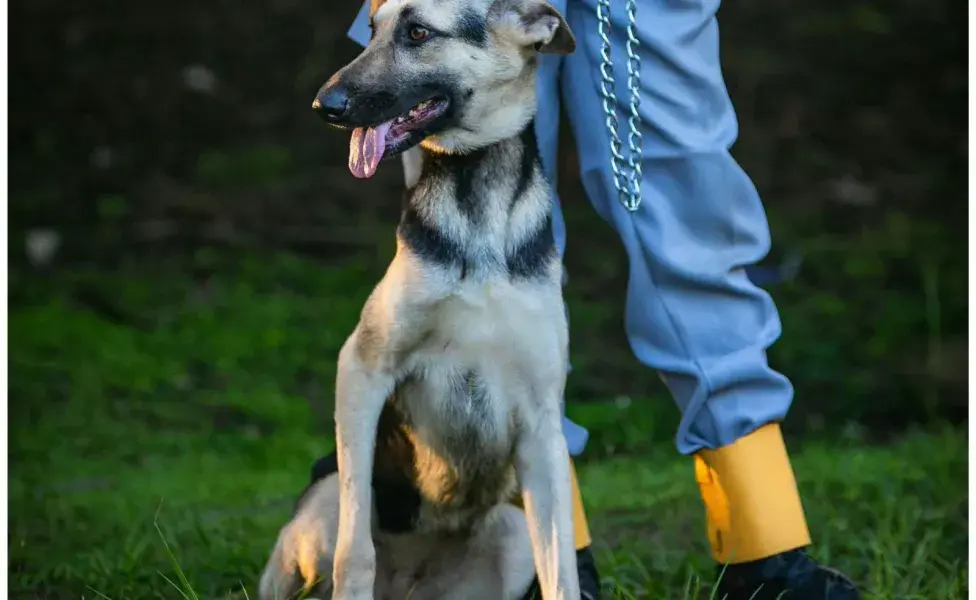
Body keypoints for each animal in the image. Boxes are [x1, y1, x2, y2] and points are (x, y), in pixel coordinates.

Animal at [255, 2, 584, 596]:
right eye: (371, 31)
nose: (324, 105)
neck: (477, 199)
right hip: (321, 505)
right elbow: (355, 552)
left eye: (417, 32)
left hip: (513, 537)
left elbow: (562, 570)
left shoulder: (543, 421)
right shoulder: (362, 369)